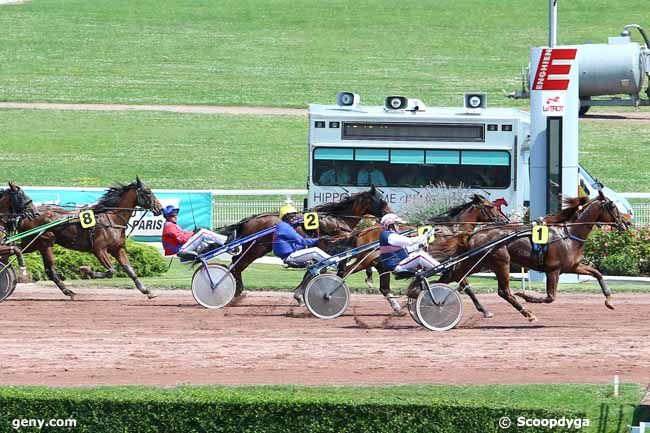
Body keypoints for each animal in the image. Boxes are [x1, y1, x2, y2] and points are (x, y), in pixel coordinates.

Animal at [13, 176, 162, 296]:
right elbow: (111, 271)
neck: (111, 219)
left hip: (36, 243)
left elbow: (130, 270)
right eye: (148, 192)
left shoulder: (117, 249)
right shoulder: (99, 249)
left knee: (22, 253)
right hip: (43, 242)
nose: (159, 208)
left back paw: (68, 291)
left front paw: (147, 291)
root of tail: (25, 215)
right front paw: (85, 269)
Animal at [220, 187, 388, 296]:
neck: (336, 219)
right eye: (383, 201)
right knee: (237, 264)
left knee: (236, 263)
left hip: (259, 249)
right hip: (255, 249)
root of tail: (248, 220)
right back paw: (235, 291)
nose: (390, 213)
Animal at [330, 194, 506, 312]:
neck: (452, 229)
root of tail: (361, 231)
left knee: (384, 288)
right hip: (366, 259)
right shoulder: (451, 260)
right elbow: (464, 284)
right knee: (344, 273)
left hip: (381, 265)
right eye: (491, 206)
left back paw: (397, 308)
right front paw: (484, 310)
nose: (504, 220)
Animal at [432, 192, 624, 320]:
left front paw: (609, 301)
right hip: (501, 261)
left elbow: (597, 273)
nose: (625, 223)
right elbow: (550, 297)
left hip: (476, 263)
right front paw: (526, 296)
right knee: (503, 291)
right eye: (613, 206)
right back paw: (527, 313)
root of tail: (473, 234)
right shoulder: (553, 270)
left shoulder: (572, 266)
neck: (568, 234)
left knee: (449, 278)